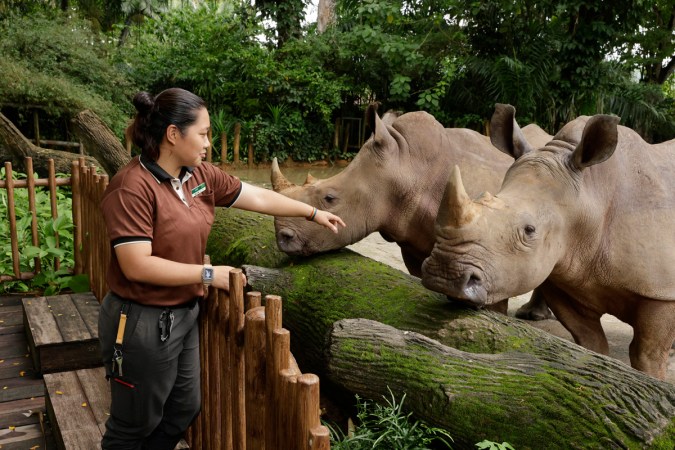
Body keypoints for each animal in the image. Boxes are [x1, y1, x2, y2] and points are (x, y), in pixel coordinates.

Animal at [421, 103, 675, 379]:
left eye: (529, 230)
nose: (444, 275)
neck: (591, 193)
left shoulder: (661, 292)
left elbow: (646, 355)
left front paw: (652, 381)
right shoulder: (567, 276)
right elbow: (590, 343)